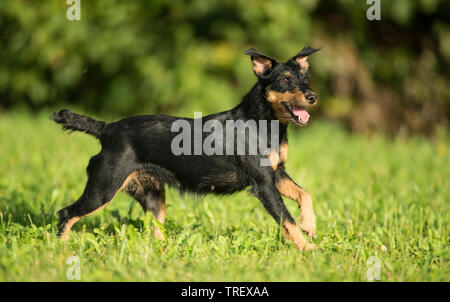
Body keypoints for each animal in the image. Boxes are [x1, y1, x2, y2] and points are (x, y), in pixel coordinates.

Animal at [51, 46, 320, 250]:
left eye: (306, 79)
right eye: (285, 81)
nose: (312, 96)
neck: (262, 122)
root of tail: (107, 129)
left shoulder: (277, 173)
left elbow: (305, 194)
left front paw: (310, 225)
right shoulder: (264, 184)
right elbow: (287, 220)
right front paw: (309, 249)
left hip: (153, 196)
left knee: (156, 230)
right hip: (104, 188)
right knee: (66, 213)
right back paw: (61, 251)